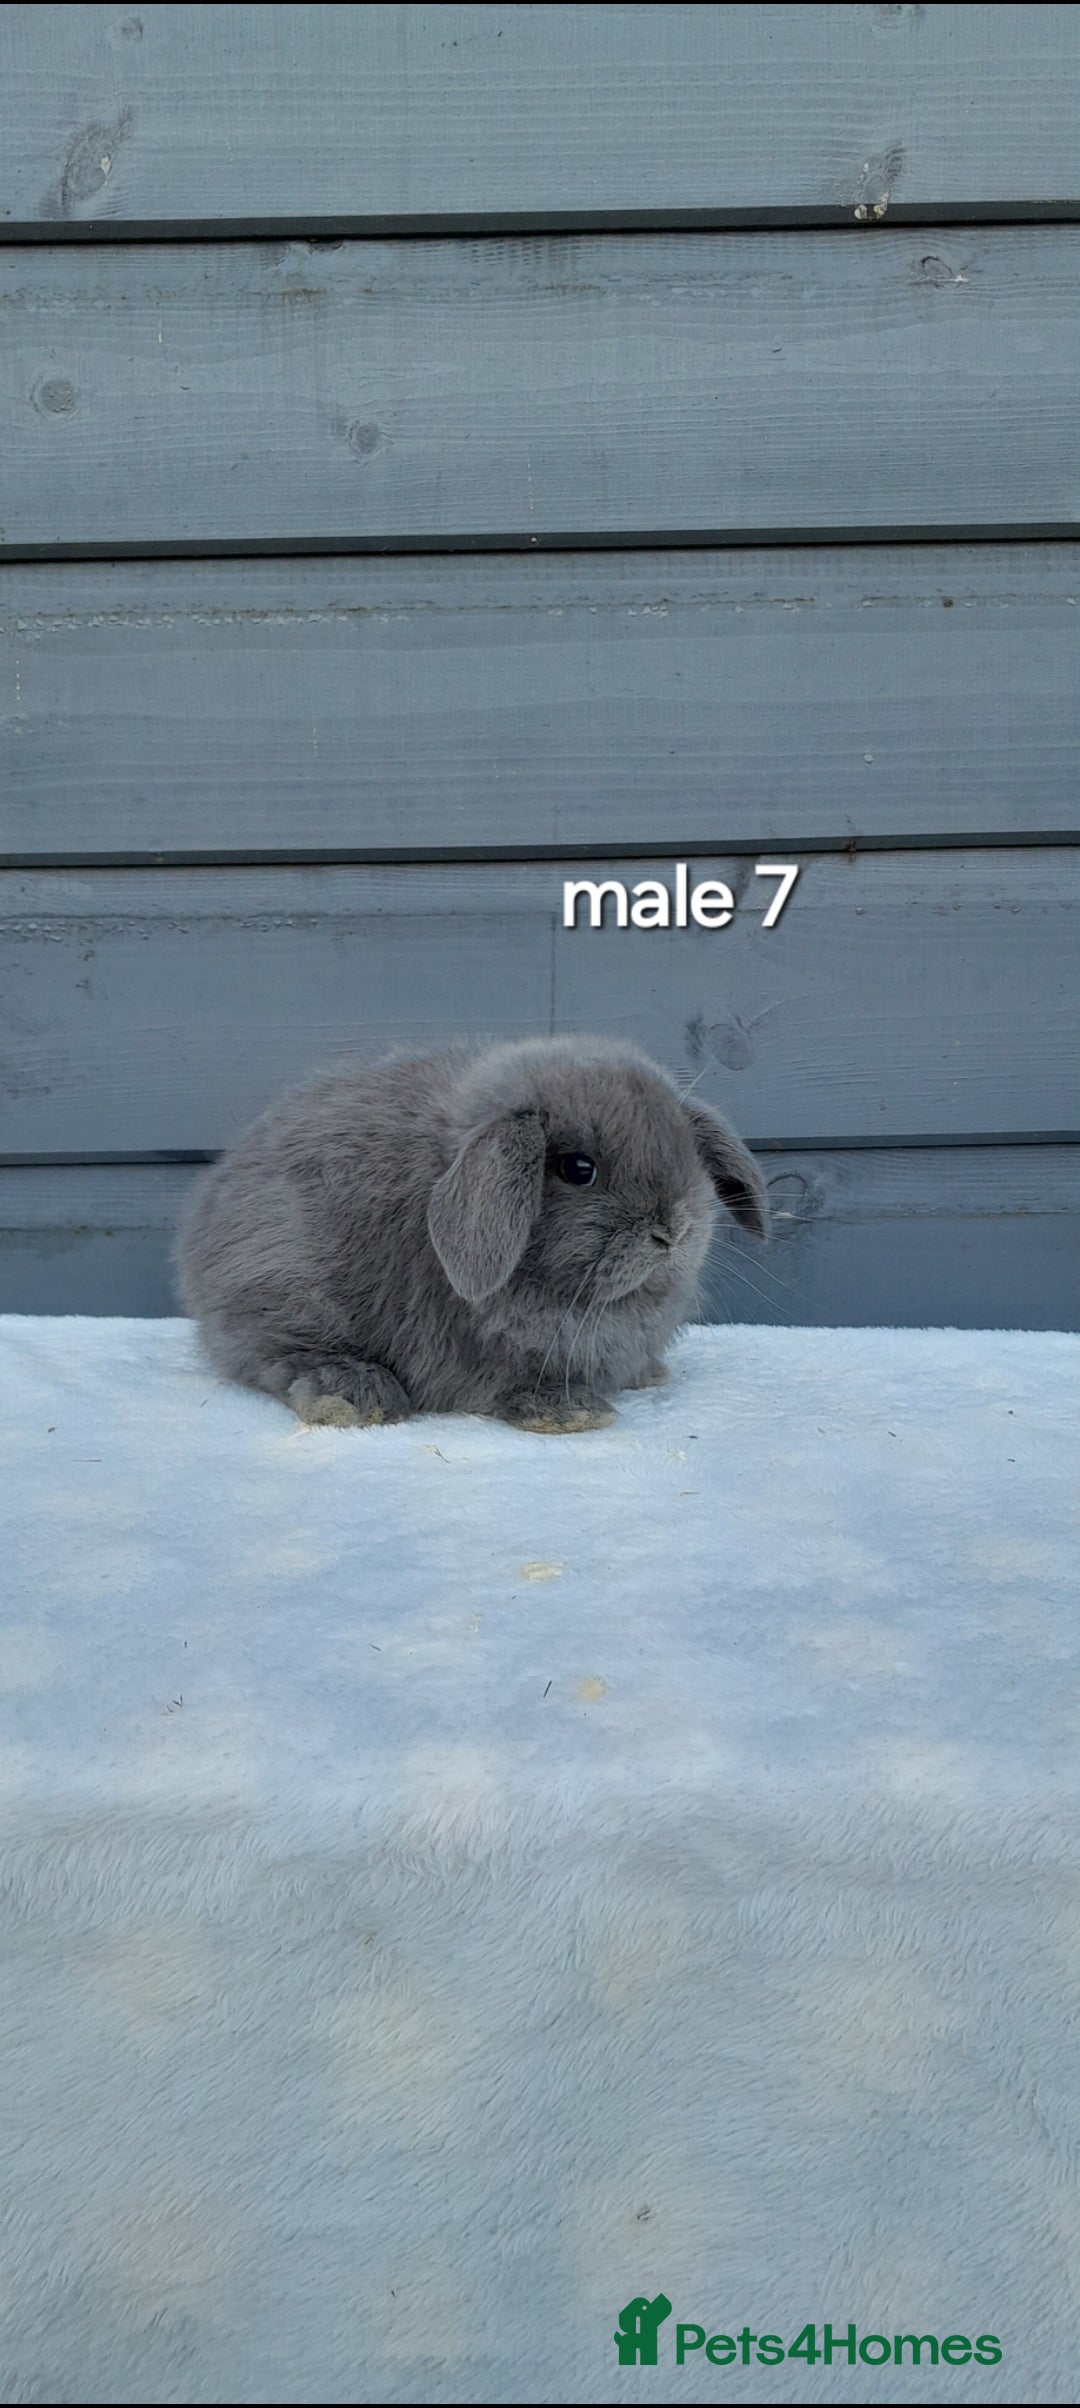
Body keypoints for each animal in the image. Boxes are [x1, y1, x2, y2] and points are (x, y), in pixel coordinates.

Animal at [175, 1035, 768, 1433]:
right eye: (579, 1169)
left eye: (686, 1153)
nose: (673, 1229)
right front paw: (572, 1412)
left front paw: (648, 1373)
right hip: (288, 1285)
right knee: (281, 1356)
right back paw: (354, 1394)